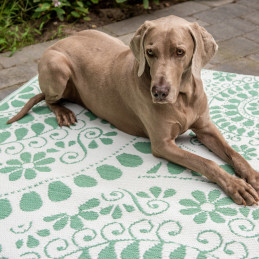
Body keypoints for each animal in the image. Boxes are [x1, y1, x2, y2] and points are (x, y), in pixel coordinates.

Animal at [6, 15, 259, 207]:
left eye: (179, 52)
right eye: (150, 52)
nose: (159, 92)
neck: (183, 97)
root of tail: (61, 40)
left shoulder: (206, 128)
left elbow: (234, 154)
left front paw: (252, 176)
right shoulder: (163, 145)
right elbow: (207, 163)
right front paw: (237, 185)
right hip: (57, 67)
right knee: (48, 98)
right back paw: (63, 111)